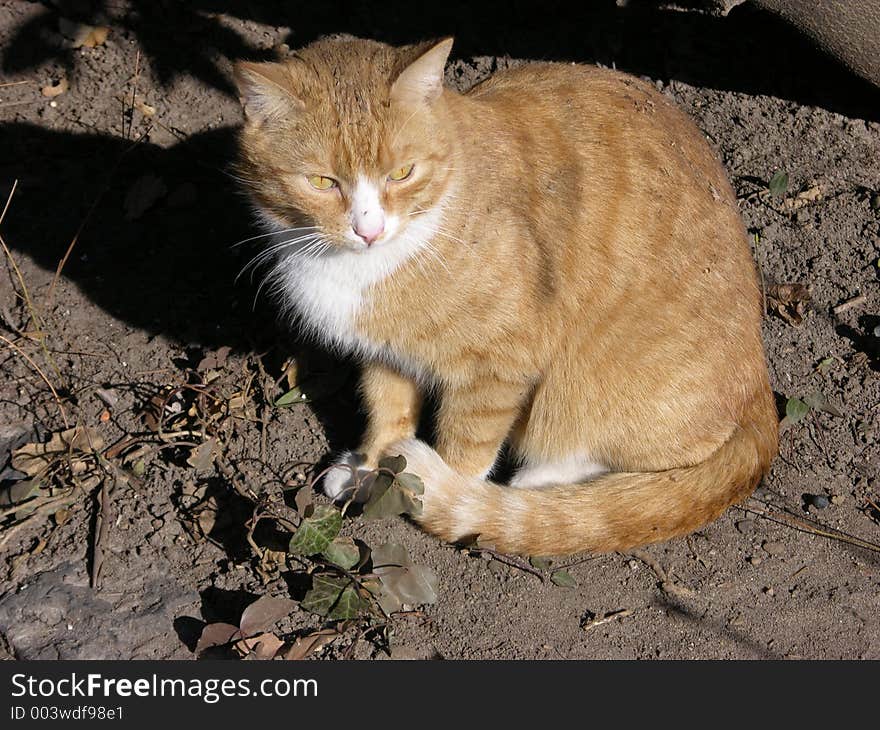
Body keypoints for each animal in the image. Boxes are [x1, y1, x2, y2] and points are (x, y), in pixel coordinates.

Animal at [234, 37, 776, 556]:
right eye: (322, 182)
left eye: (403, 173)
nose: (369, 230)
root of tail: (762, 385)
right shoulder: (384, 356)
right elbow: (387, 414)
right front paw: (369, 469)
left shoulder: (499, 363)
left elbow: (464, 449)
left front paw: (439, 494)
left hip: (589, 385)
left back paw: (542, 483)